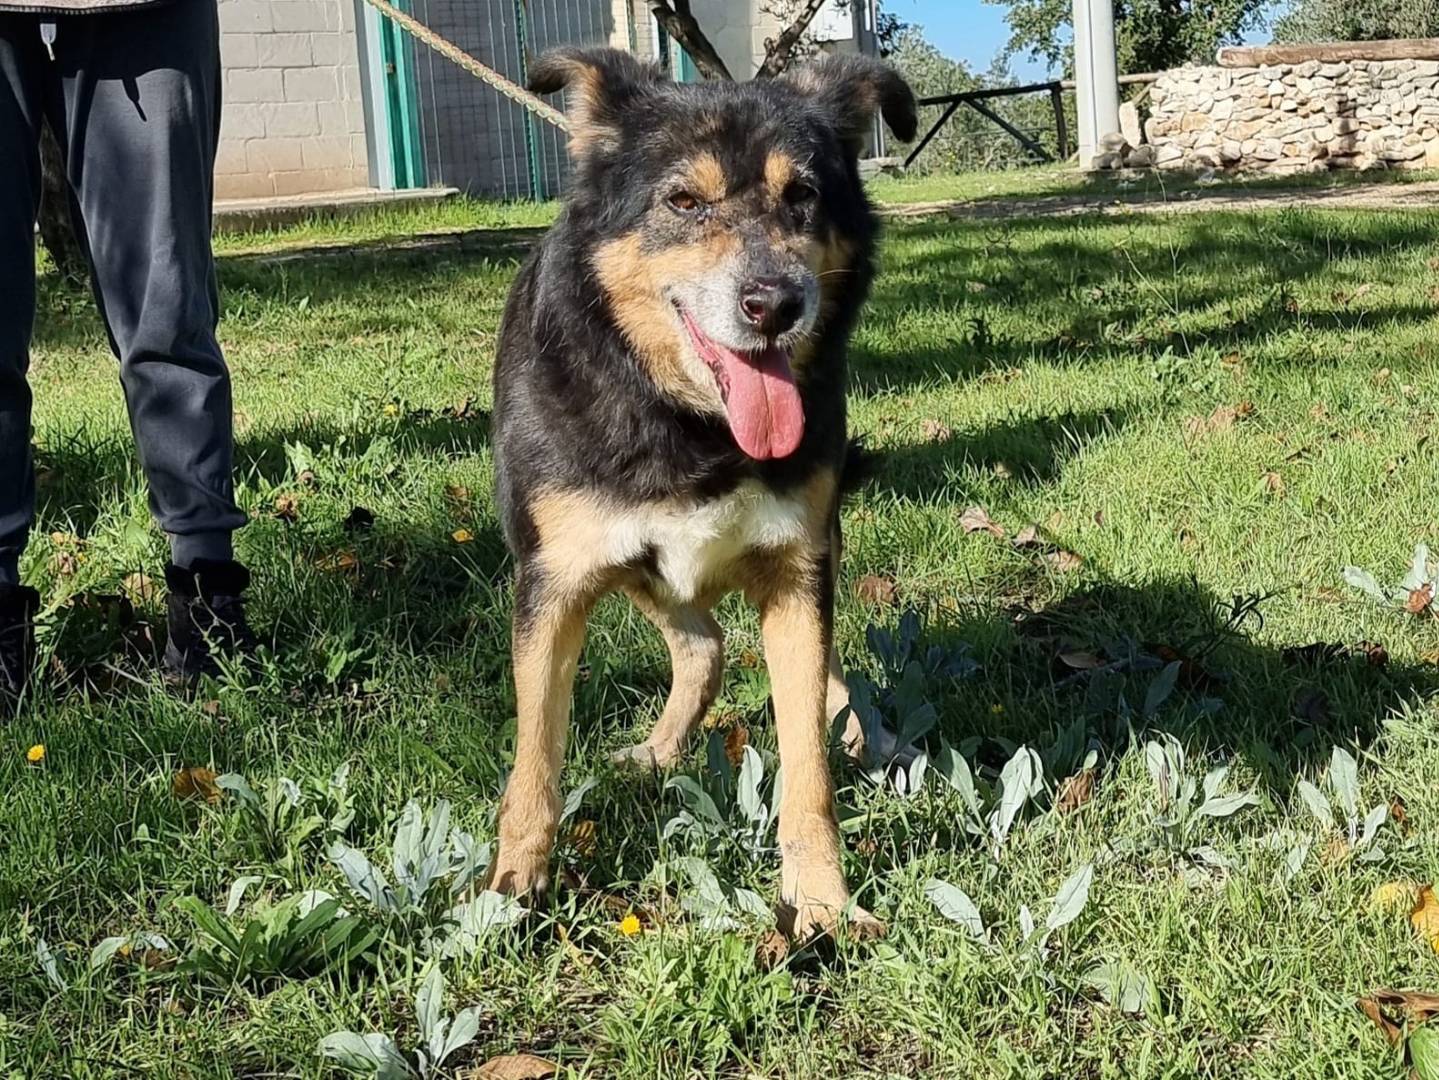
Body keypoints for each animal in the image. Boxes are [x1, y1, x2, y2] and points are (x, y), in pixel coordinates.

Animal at [489, 46, 915, 937]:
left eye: (802, 195)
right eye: (683, 201)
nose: (774, 304)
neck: (689, 422)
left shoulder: (796, 568)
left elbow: (806, 761)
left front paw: (819, 901)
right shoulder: (554, 579)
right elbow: (534, 757)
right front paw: (513, 890)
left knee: (773, 659)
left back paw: (870, 734)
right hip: (625, 564)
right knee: (703, 644)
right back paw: (659, 750)